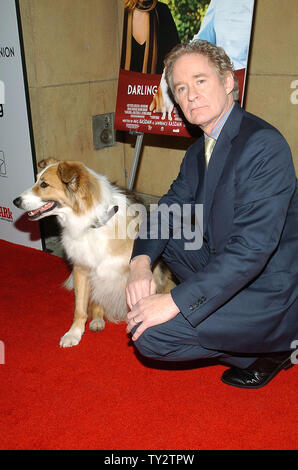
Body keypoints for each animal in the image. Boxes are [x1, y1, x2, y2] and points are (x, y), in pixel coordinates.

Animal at [13, 160, 175, 346]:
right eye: (36, 180)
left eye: (44, 184)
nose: (15, 201)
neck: (93, 223)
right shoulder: (82, 270)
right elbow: (80, 308)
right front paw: (74, 333)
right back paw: (98, 320)